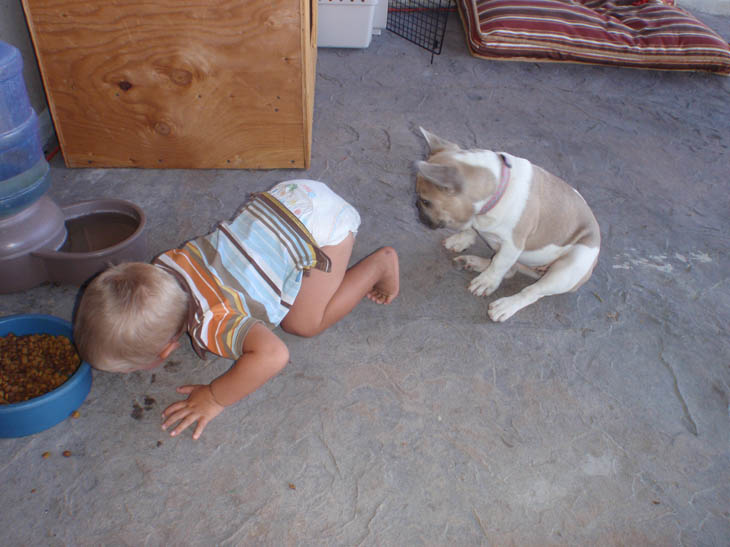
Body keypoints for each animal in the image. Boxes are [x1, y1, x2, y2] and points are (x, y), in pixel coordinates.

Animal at [416, 127, 596, 322]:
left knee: (532, 290)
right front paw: (461, 240)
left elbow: (499, 263)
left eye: (426, 202)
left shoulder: (513, 245)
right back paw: (472, 262)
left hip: (570, 267)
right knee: (511, 269)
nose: (417, 209)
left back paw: (505, 305)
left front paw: (487, 281)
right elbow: (471, 230)